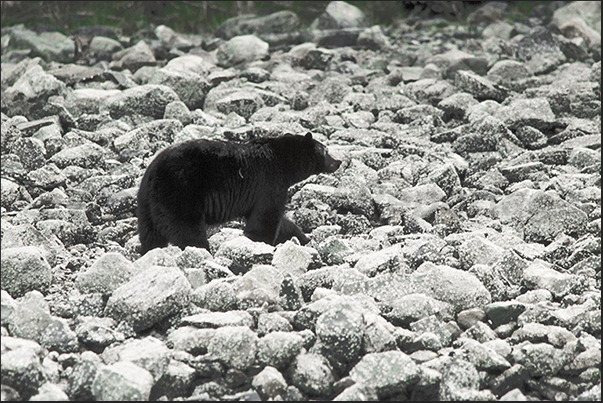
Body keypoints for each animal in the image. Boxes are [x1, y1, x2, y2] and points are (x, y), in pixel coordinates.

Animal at [139, 133, 342, 256]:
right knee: (187, 229)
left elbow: (280, 222)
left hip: (149, 204)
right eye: (325, 150)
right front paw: (260, 244)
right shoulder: (269, 183)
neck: (285, 162)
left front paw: (303, 238)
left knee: (150, 234)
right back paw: (203, 251)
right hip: (180, 191)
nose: (339, 161)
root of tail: (151, 171)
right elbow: (265, 219)